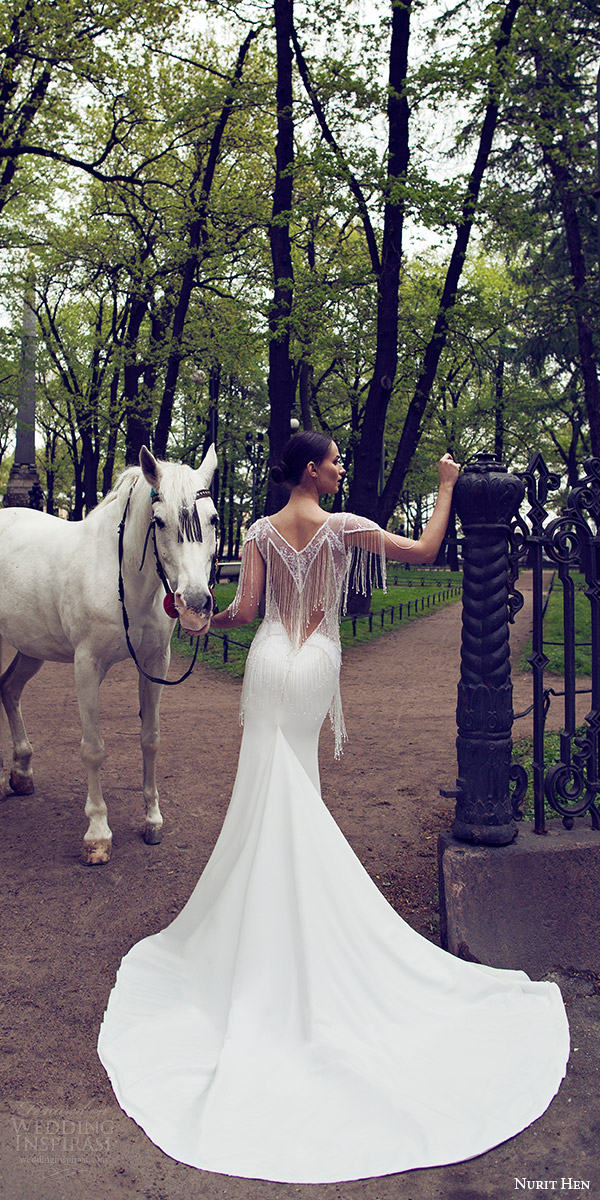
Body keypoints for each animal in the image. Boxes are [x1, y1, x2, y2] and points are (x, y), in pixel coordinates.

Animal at [0, 446, 219, 859]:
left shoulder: (155, 663)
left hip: (30, 645)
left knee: (9, 689)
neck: (126, 580)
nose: (196, 604)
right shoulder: (87, 665)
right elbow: (93, 748)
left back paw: (21, 772)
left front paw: (152, 819)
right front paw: (98, 832)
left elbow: (150, 738)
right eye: (159, 521)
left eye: (213, 519)